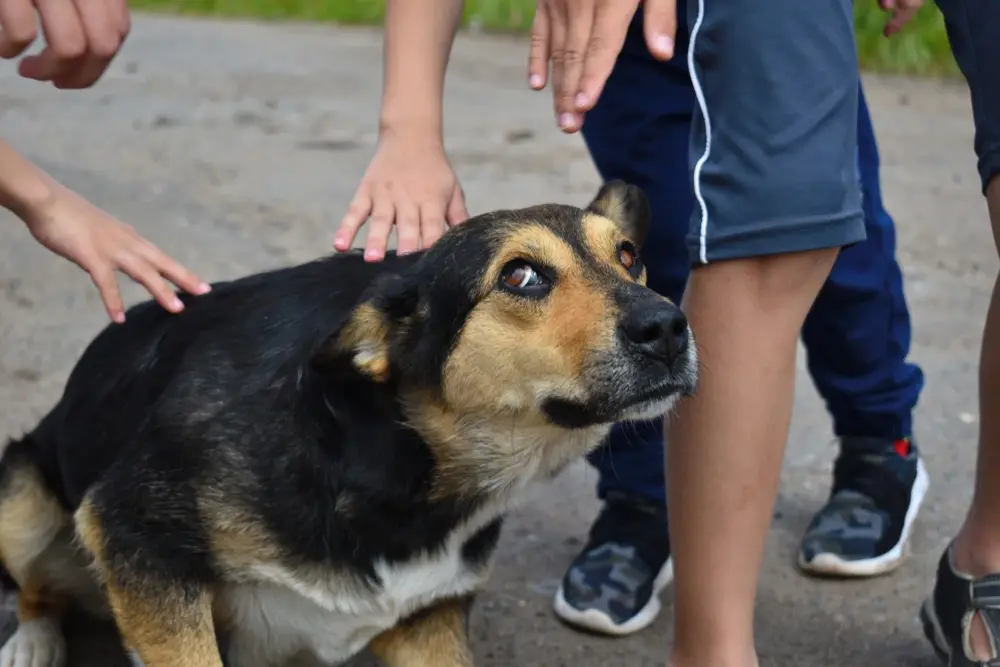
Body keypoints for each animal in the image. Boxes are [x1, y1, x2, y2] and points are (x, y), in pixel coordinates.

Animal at [0, 181, 696, 667]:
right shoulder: (132, 532)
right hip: (22, 499)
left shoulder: (426, 622)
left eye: (629, 255)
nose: (668, 326)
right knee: (35, 589)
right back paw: (31, 643)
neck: (406, 460)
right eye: (520, 275)